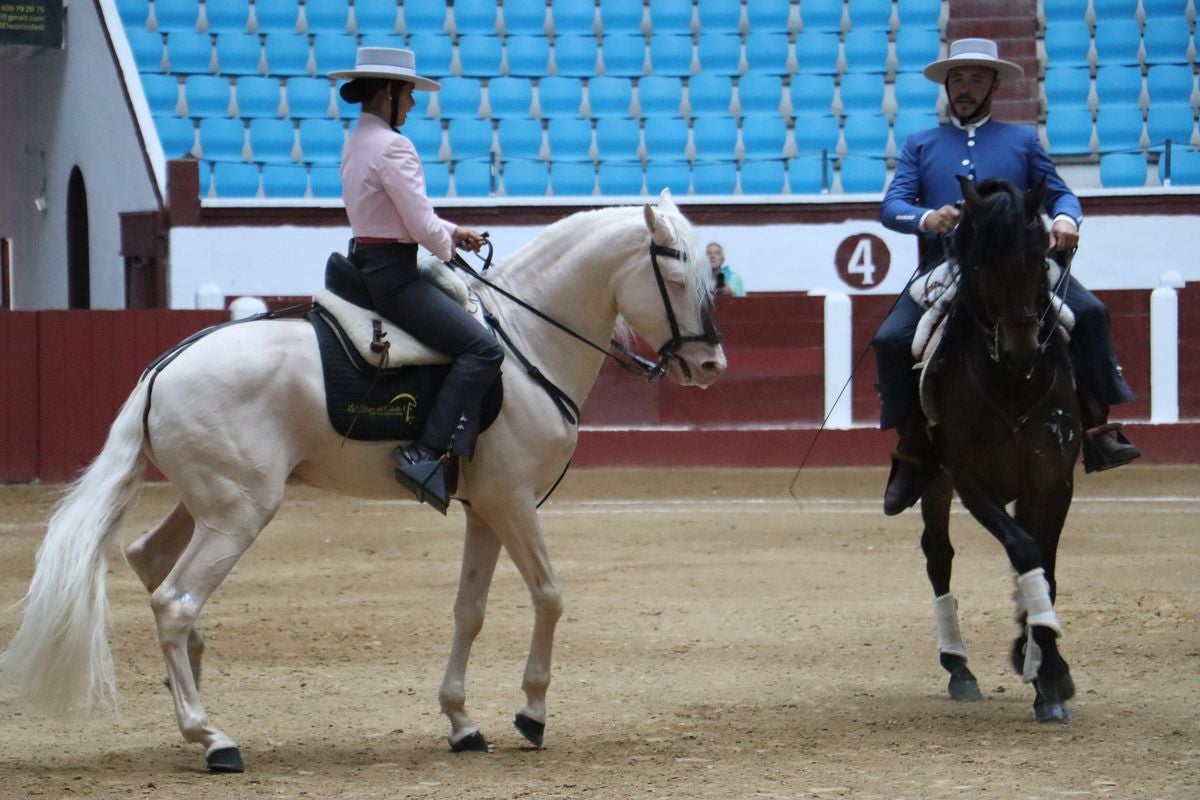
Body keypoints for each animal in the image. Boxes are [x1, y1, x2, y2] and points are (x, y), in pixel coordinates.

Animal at [0, 191, 727, 772]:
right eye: (678, 272)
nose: (711, 365)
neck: (526, 340)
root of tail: (162, 368)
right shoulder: (514, 501)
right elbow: (549, 595)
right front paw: (531, 714)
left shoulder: (484, 509)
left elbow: (469, 610)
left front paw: (462, 722)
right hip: (240, 512)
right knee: (175, 602)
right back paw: (211, 736)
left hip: (207, 503)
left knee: (148, 560)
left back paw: (191, 698)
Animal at [915, 176, 1080, 723]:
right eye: (981, 265)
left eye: (1037, 257)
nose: (1021, 349)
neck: (1012, 386)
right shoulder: (971, 481)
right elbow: (1025, 550)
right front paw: (1049, 668)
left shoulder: (1053, 477)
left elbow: (1043, 563)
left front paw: (1043, 668)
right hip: (934, 480)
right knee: (938, 554)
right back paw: (958, 667)